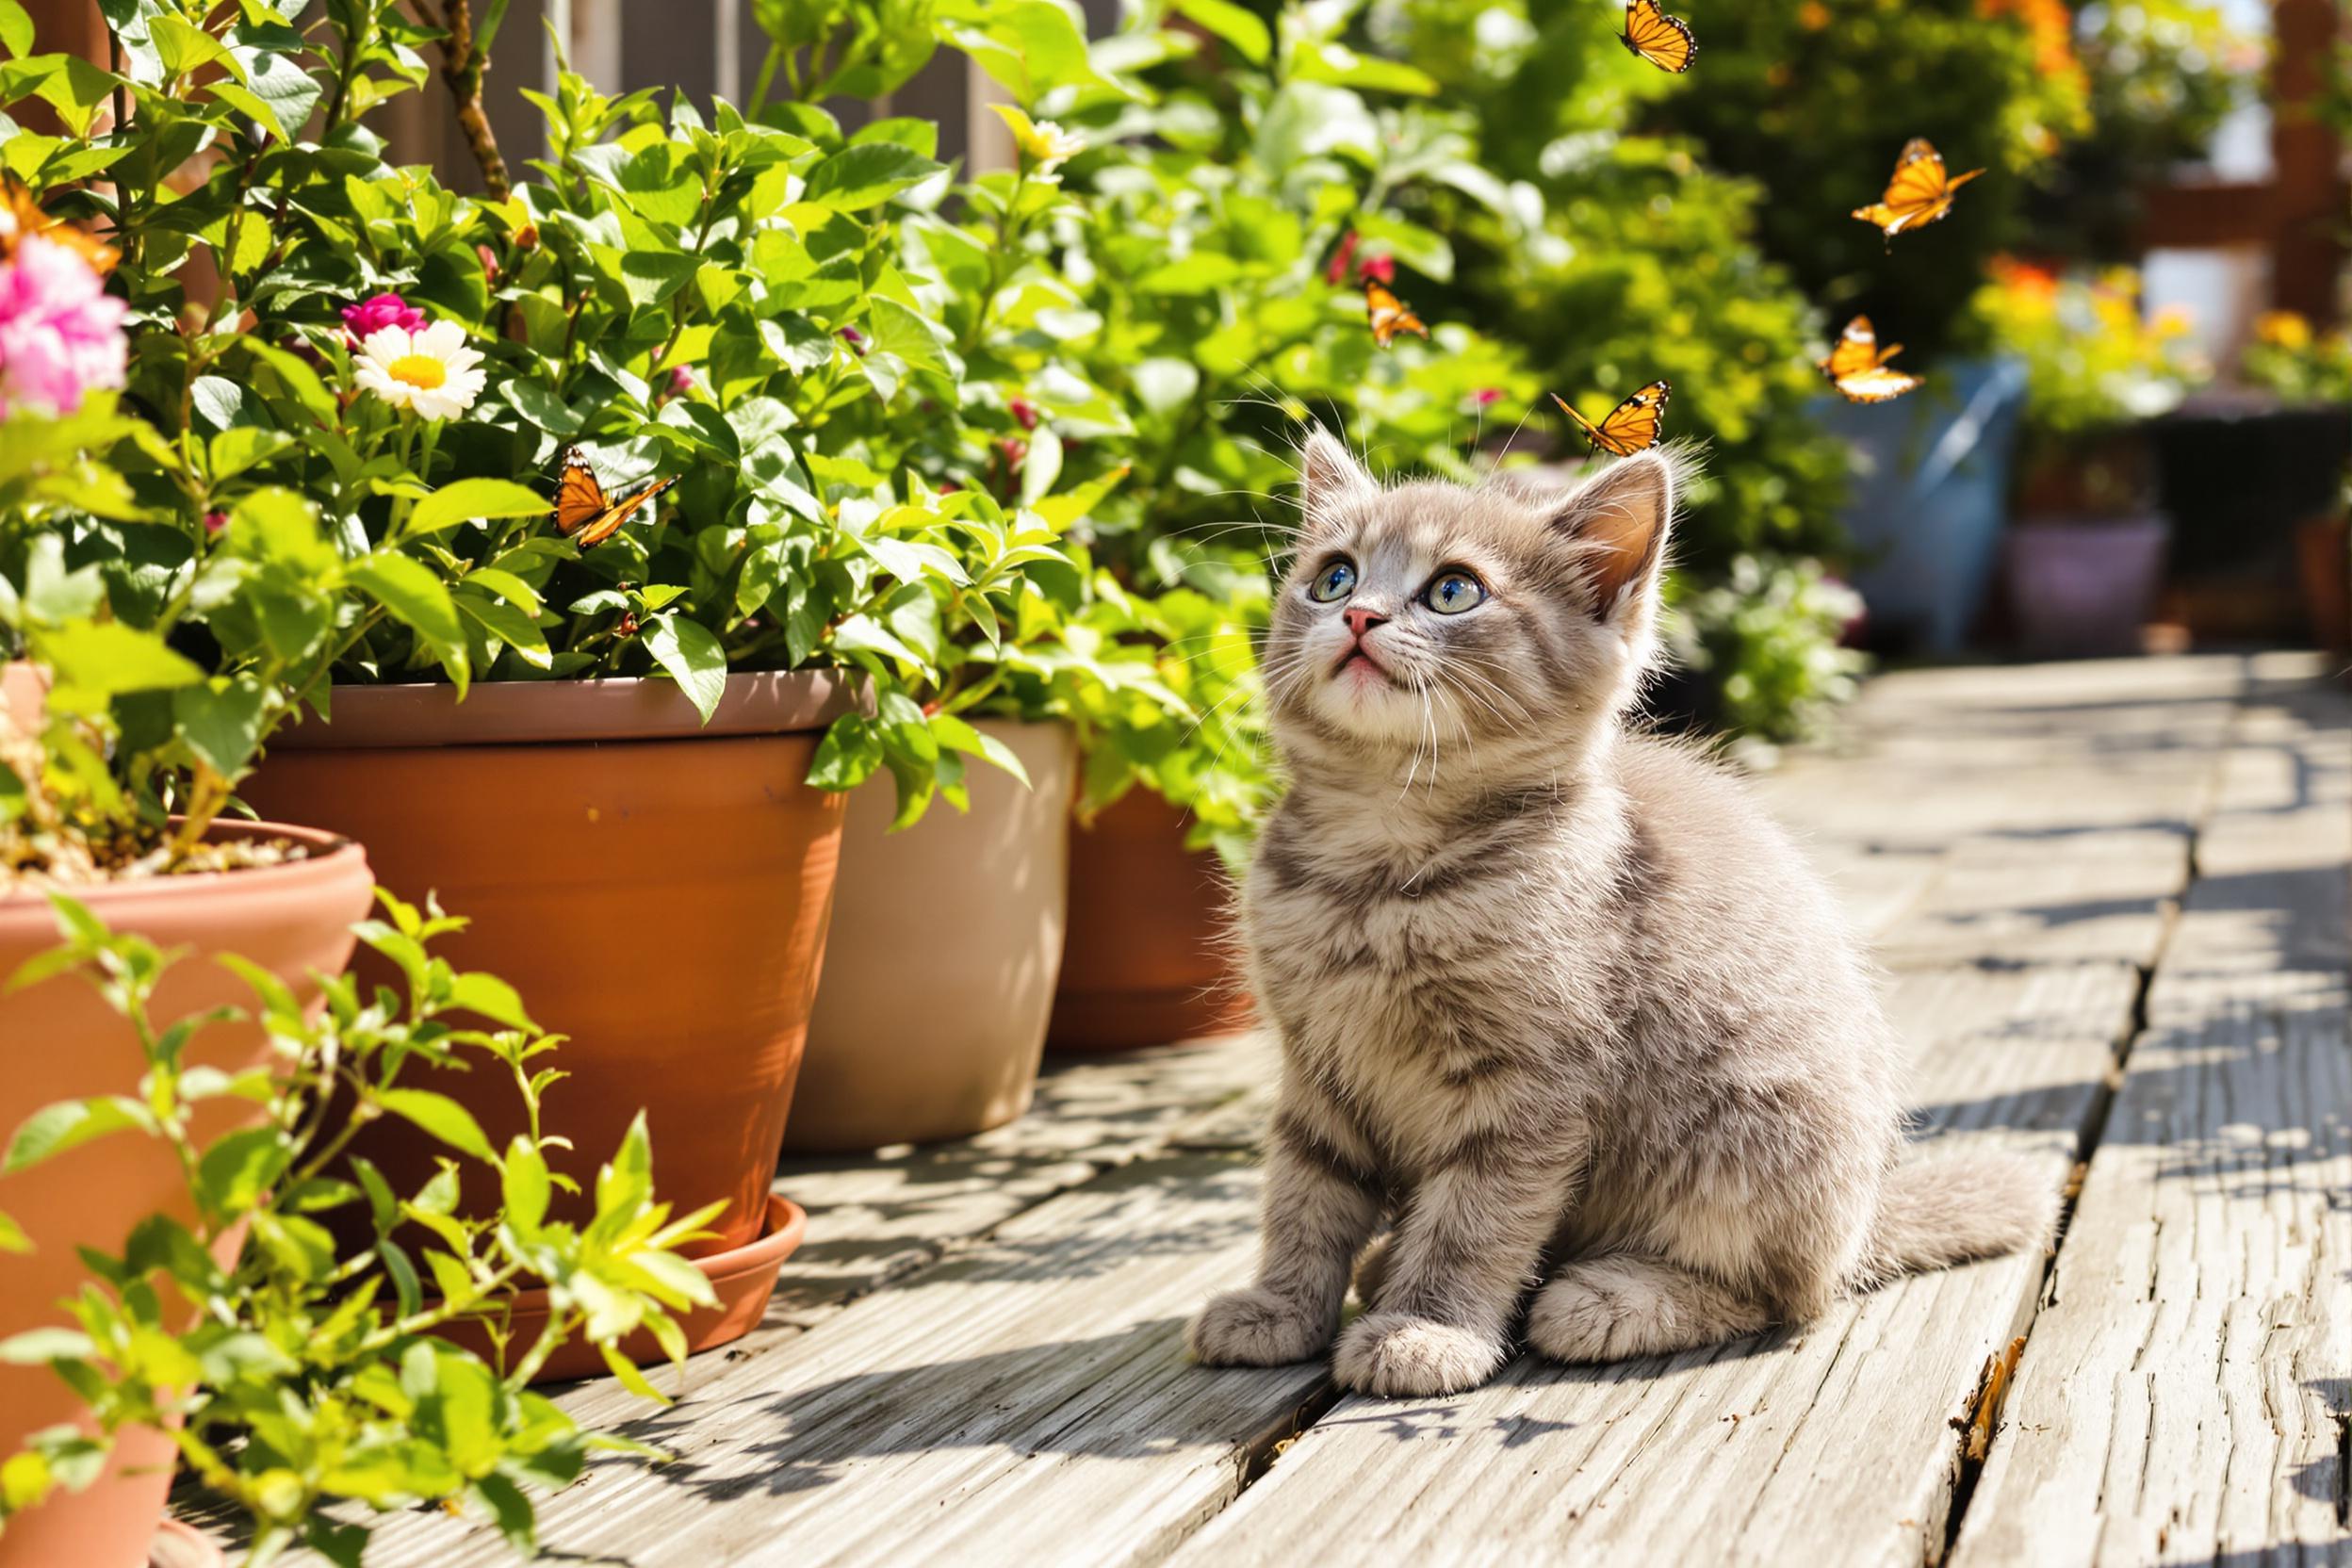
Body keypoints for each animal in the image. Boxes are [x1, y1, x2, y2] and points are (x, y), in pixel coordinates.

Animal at [1184, 430, 2050, 1400]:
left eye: (1453, 590)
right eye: (1333, 576)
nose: (1359, 617)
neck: (1375, 869)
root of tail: (1861, 1221)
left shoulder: (1533, 1085)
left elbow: (1476, 1218)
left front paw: (1427, 1329)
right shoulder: (1314, 1064)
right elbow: (1306, 1191)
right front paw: (1281, 1306)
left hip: (1752, 1135)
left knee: (1784, 1296)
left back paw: (1608, 1298)